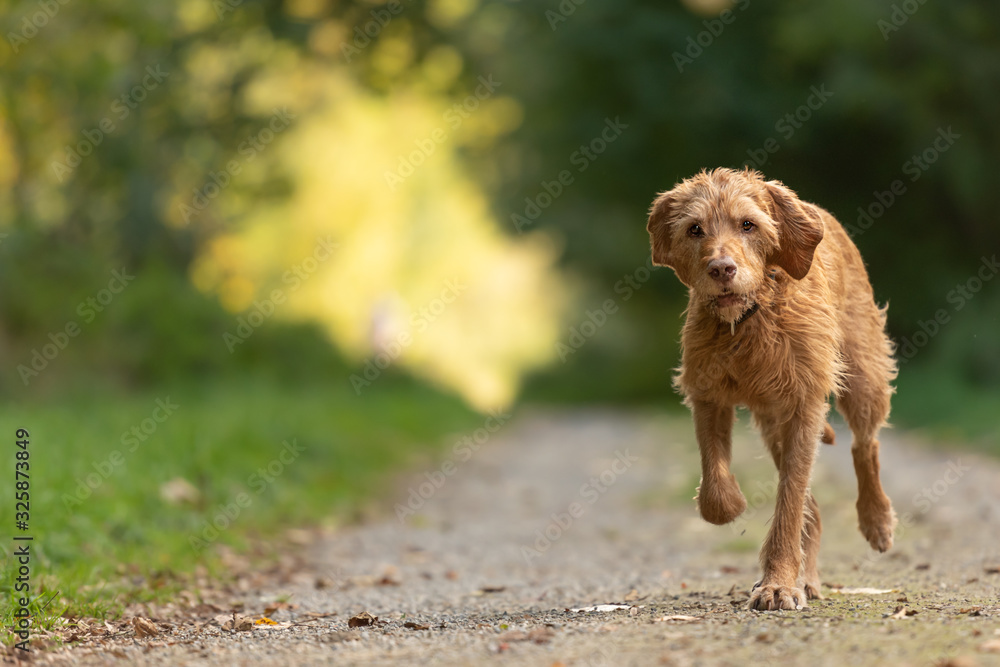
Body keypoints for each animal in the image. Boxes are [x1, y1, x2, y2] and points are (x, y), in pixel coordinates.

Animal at [648, 167, 900, 612]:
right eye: (695, 229)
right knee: (813, 502)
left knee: (864, 444)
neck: (749, 319)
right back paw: (810, 577)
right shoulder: (707, 394)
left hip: (863, 375)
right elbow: (716, 487)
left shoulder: (804, 403)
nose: (721, 269)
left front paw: (779, 584)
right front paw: (735, 506)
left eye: (748, 225)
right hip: (770, 418)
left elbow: (791, 499)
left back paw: (877, 521)